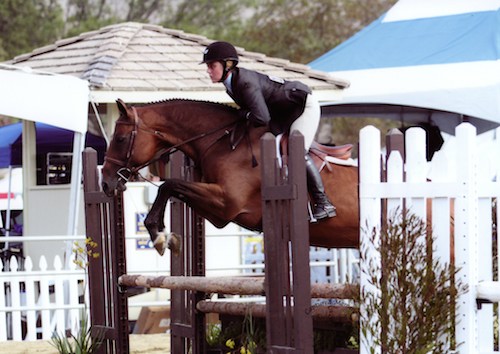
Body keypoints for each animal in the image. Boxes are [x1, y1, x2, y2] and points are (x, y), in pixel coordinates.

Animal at [100, 98, 360, 256]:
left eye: (120, 139)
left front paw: (159, 236)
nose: (105, 183)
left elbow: (169, 184)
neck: (224, 142)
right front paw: (163, 235)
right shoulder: (219, 214)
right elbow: (172, 188)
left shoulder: (226, 203)